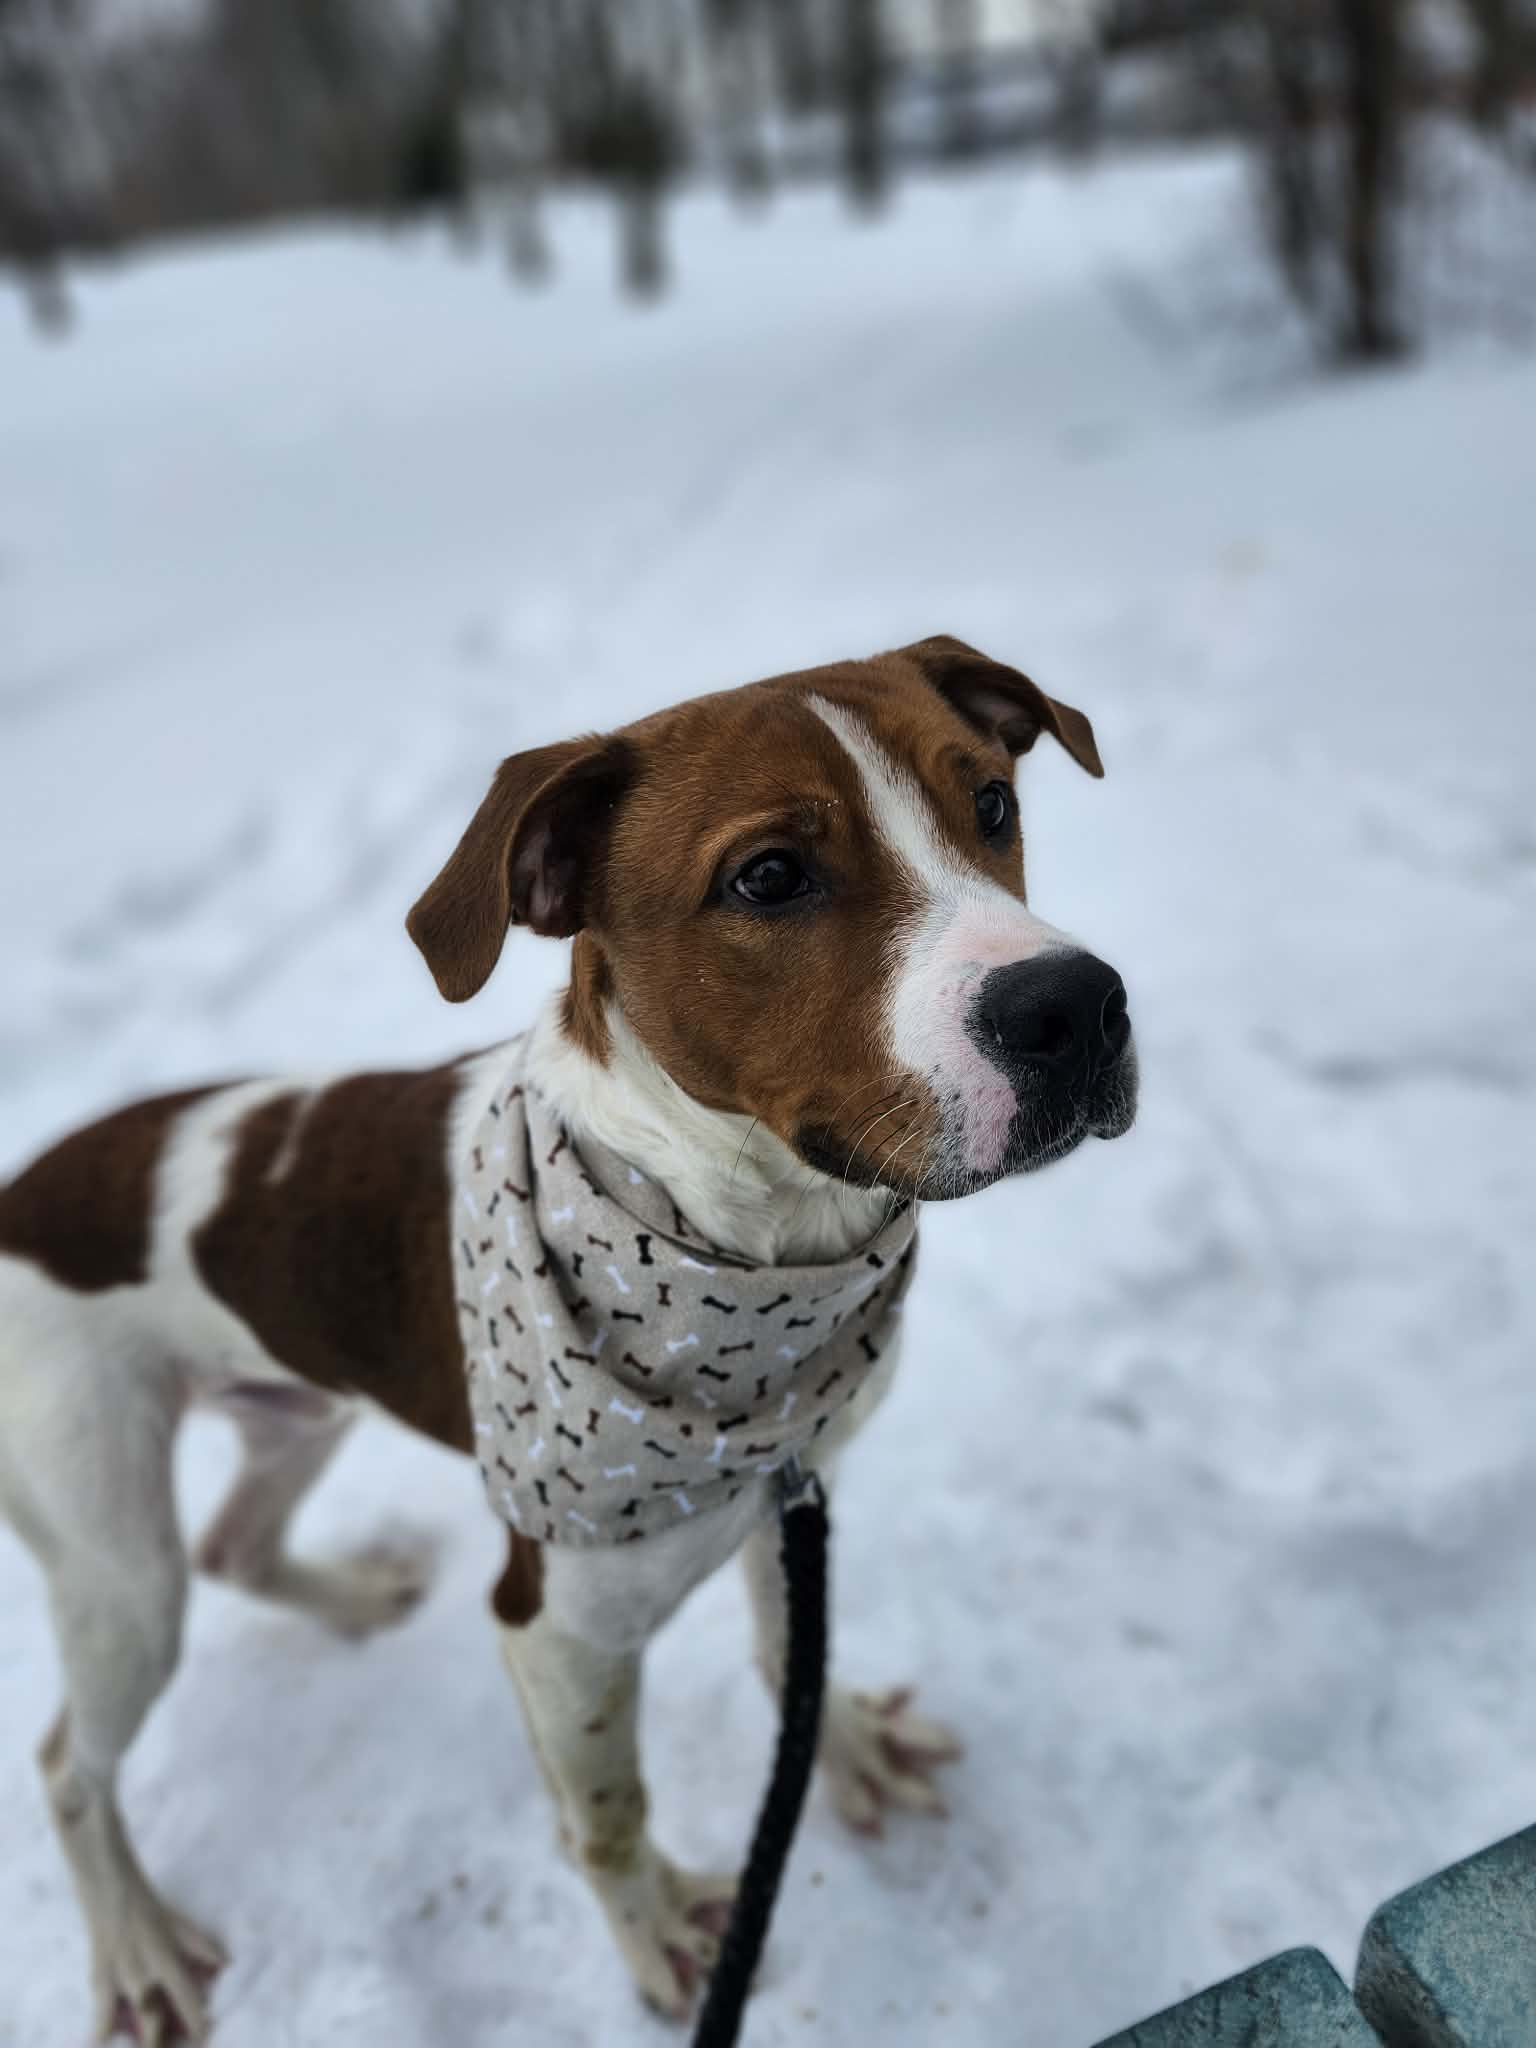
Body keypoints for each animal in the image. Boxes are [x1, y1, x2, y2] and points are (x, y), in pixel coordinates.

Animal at [0, 636, 1137, 2042]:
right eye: (770, 875)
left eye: (990, 801)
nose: (1079, 1006)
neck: (744, 1262)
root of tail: (15, 1194)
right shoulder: (557, 1624)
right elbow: (608, 1811)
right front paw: (659, 1933)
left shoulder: (790, 1490)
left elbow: (793, 1649)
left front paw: (845, 1751)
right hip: (112, 1557)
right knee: (70, 1756)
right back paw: (138, 1941)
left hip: (294, 1410)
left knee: (238, 1540)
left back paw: (353, 1595)